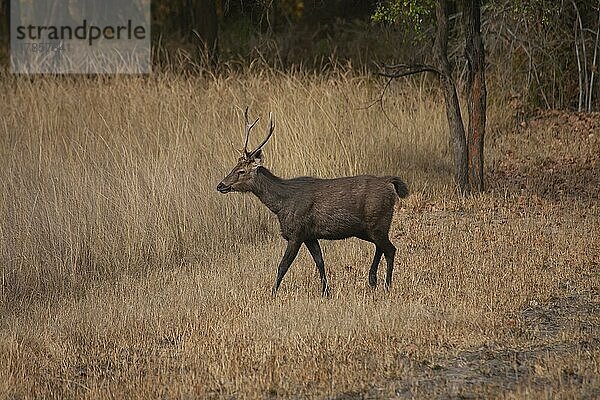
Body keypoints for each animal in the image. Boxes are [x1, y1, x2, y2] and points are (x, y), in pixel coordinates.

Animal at [218, 108, 410, 296]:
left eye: (241, 171)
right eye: (234, 167)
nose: (220, 185)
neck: (280, 204)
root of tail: (389, 182)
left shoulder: (296, 233)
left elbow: (282, 266)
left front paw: (272, 294)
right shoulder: (310, 235)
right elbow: (320, 262)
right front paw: (326, 291)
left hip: (378, 221)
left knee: (390, 249)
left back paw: (387, 285)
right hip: (367, 228)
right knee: (381, 247)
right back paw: (372, 280)